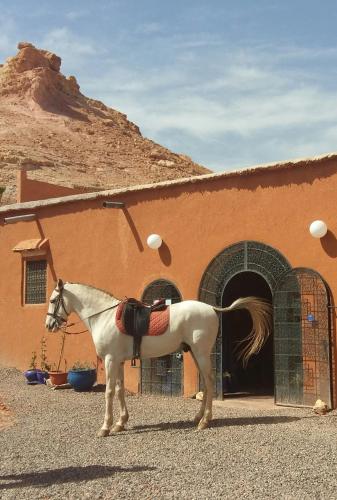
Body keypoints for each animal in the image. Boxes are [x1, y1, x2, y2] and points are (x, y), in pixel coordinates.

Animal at [44, 280, 272, 436]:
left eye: (53, 300)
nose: (49, 325)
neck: (104, 316)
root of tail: (211, 308)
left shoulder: (110, 360)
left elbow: (108, 393)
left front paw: (105, 427)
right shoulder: (118, 361)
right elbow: (119, 391)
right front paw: (120, 423)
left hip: (201, 353)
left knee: (209, 382)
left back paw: (204, 421)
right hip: (196, 354)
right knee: (206, 385)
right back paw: (198, 417)